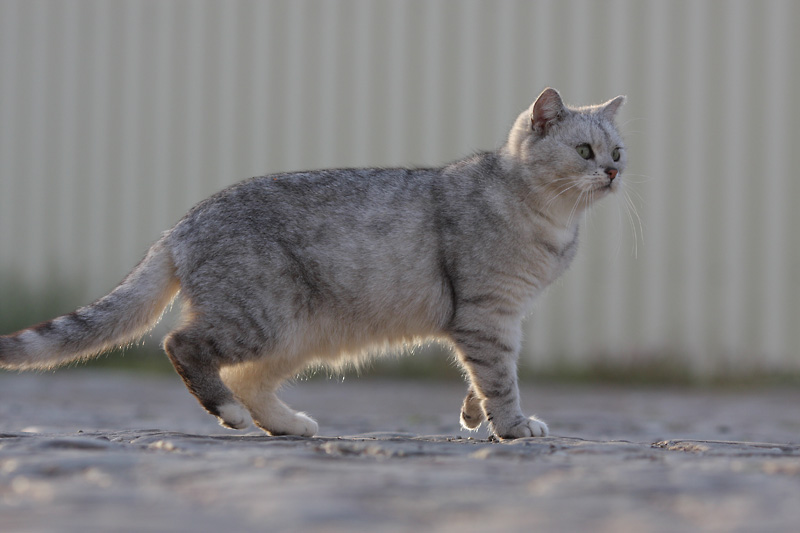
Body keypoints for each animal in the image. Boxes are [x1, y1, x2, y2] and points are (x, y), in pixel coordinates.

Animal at [0, 87, 624, 436]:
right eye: (584, 151)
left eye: (618, 150)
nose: (615, 171)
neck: (548, 218)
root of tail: (179, 227)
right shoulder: (485, 314)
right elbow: (500, 379)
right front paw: (512, 427)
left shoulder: (503, 320)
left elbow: (486, 376)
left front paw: (477, 416)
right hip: (260, 318)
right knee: (183, 346)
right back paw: (227, 412)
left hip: (295, 335)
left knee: (249, 380)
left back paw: (286, 425)